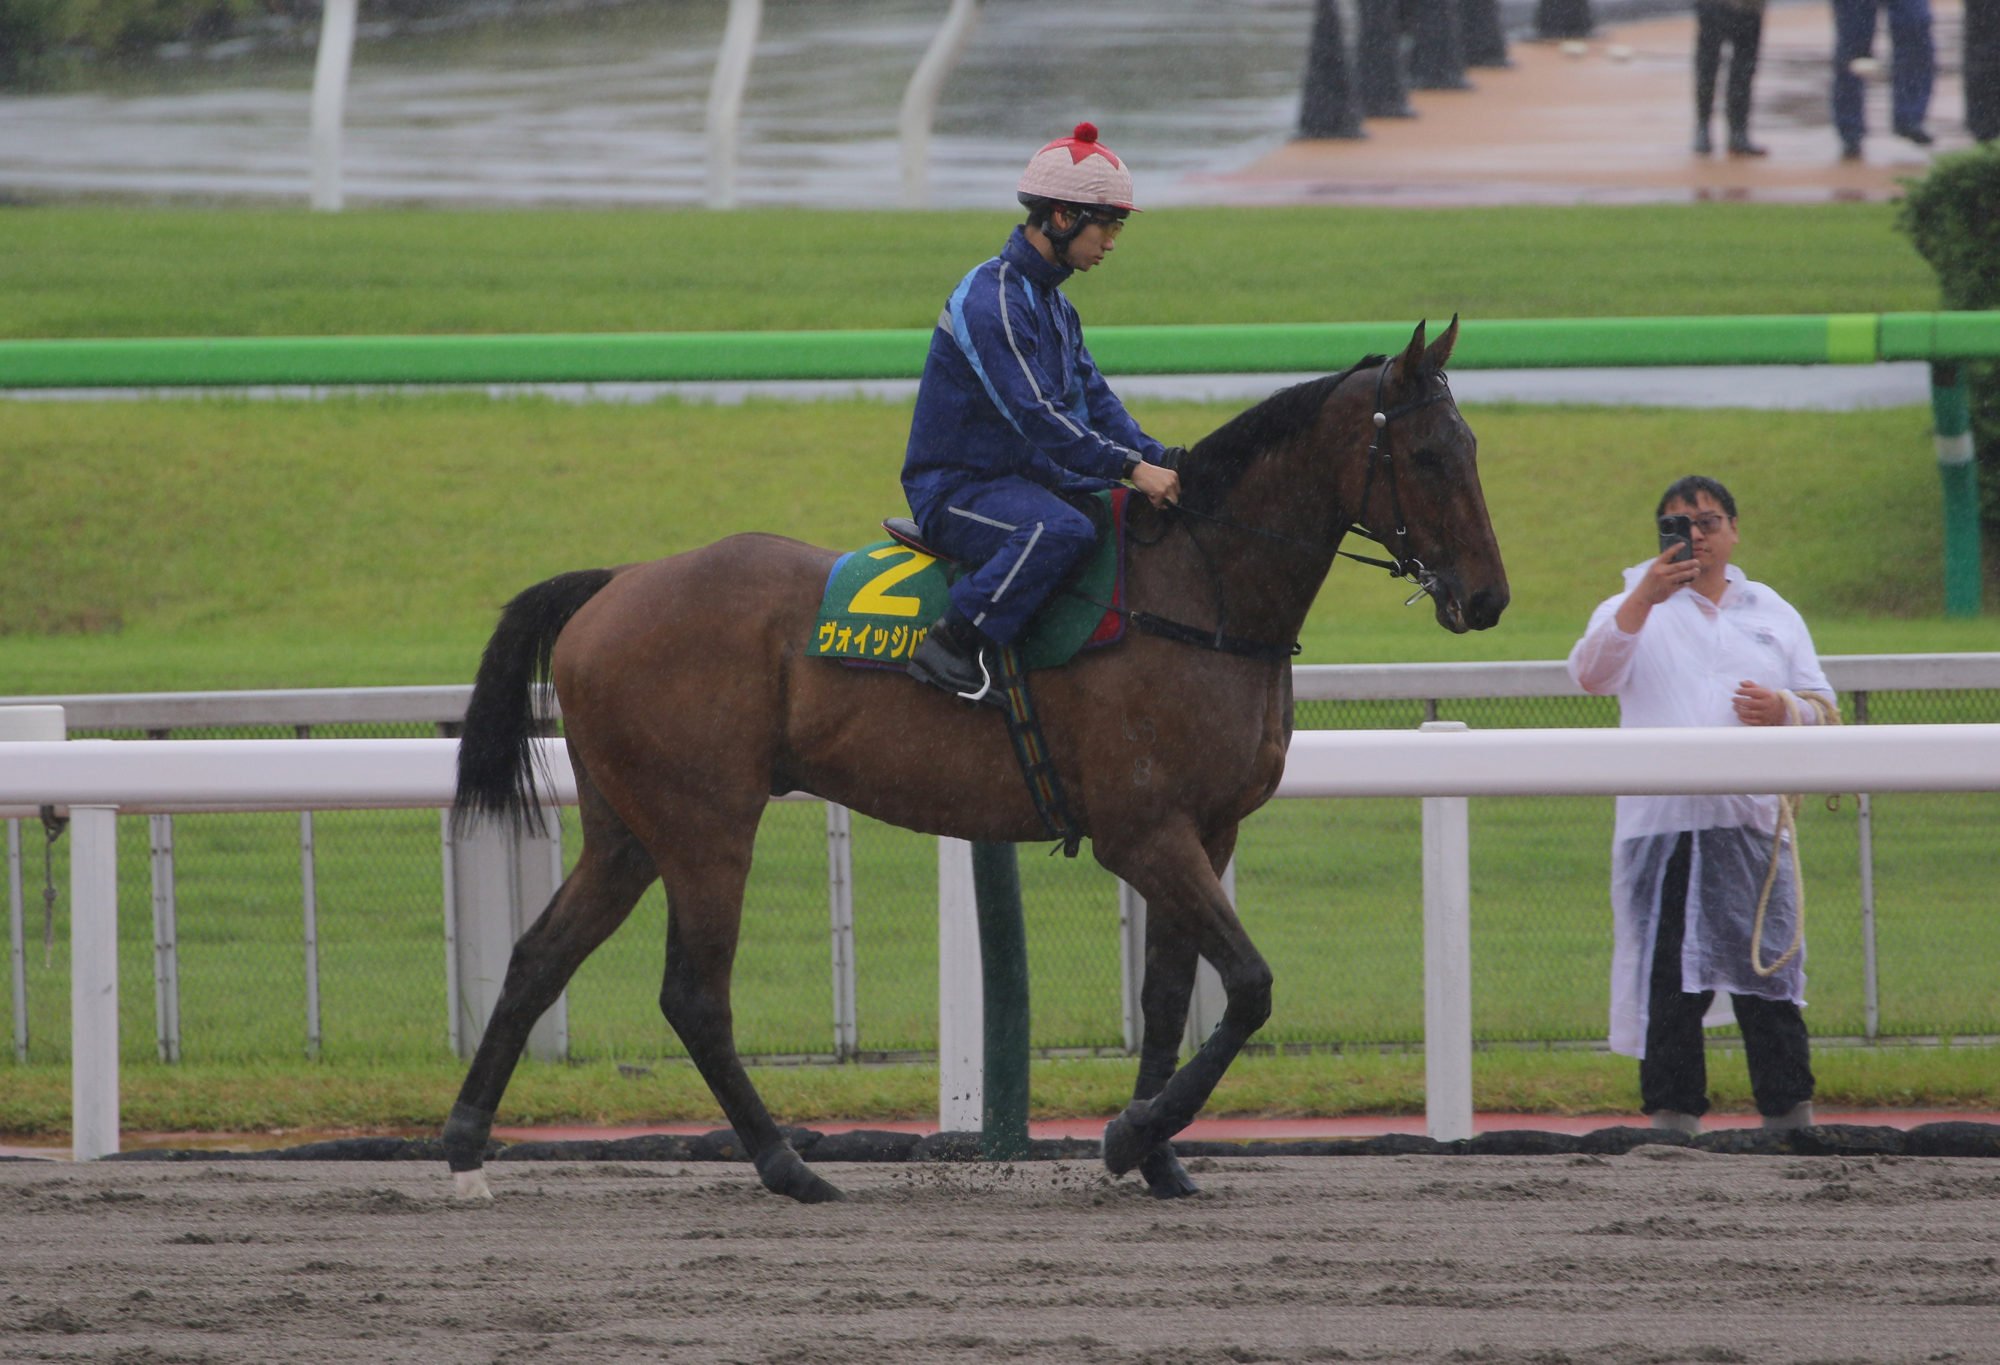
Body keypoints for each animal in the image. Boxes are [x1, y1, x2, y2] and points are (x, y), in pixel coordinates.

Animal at [438, 316, 1504, 1200]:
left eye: (1471, 448)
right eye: (1425, 453)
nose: (1487, 597)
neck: (1198, 593)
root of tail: (614, 584)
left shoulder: (1207, 828)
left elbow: (1171, 997)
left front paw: (1159, 1155)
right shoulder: (1142, 831)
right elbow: (1247, 985)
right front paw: (1130, 1134)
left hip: (628, 829)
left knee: (540, 957)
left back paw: (464, 1146)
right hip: (707, 824)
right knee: (694, 995)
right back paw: (788, 1164)